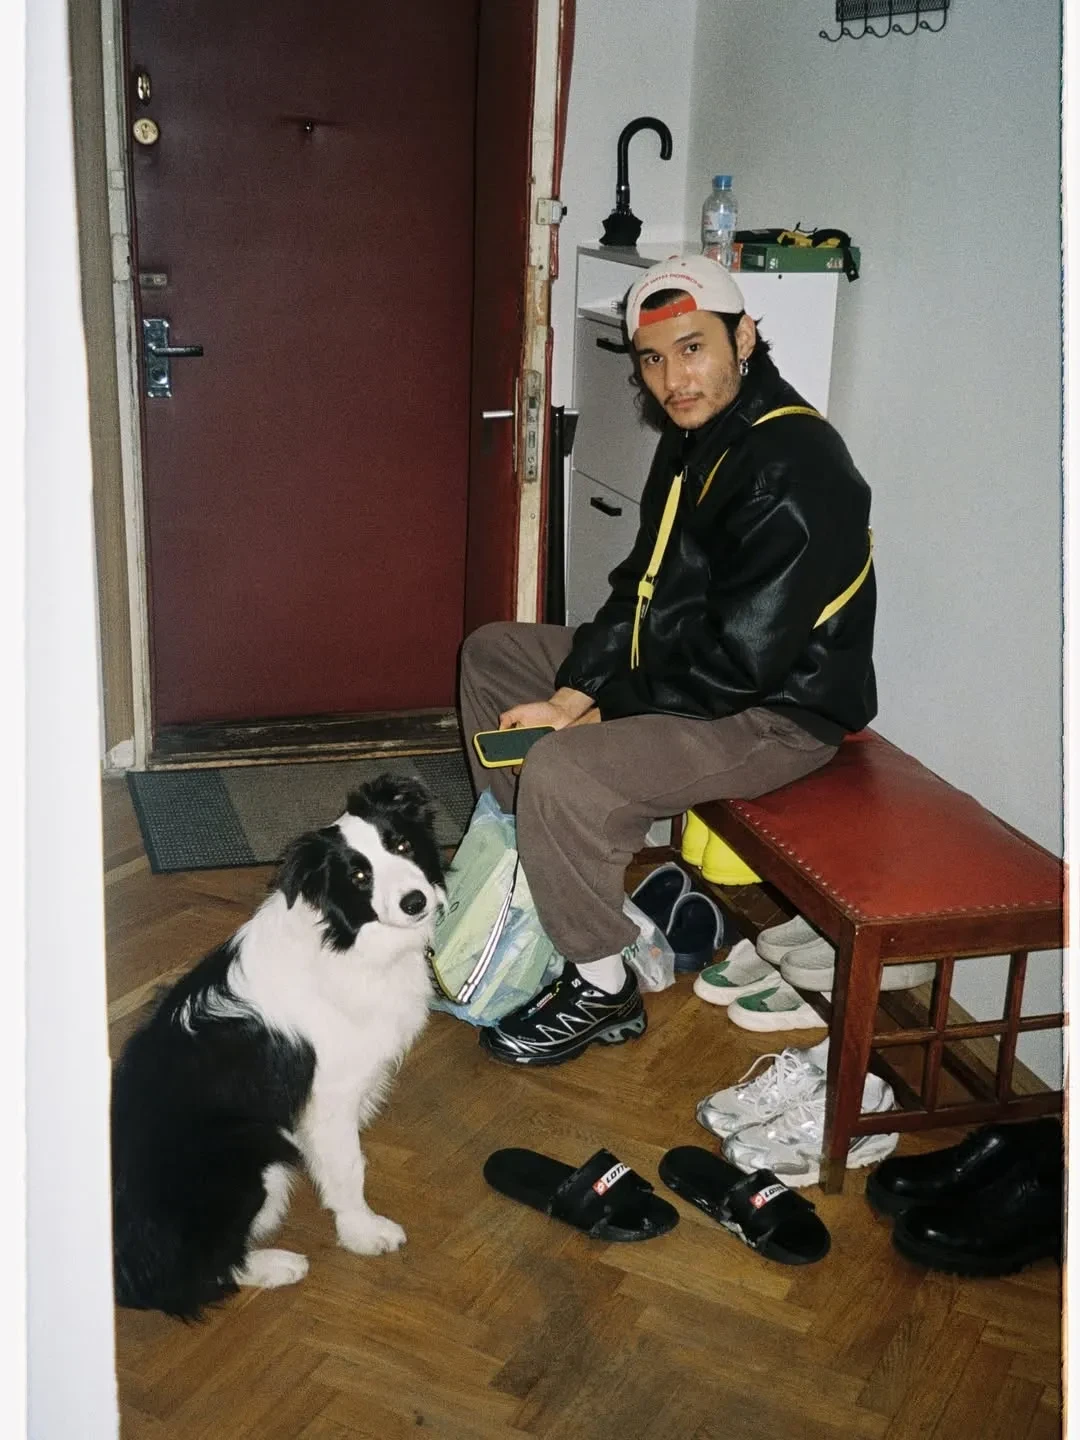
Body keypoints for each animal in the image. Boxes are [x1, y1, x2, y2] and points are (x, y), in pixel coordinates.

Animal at [111, 774, 445, 1319]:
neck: (344, 942)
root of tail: (127, 1267)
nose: (416, 902)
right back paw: (278, 1265)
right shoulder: (328, 1097)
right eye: (358, 876)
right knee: (196, 1275)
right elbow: (349, 1167)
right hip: (251, 1150)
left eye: (402, 845)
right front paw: (363, 1233)